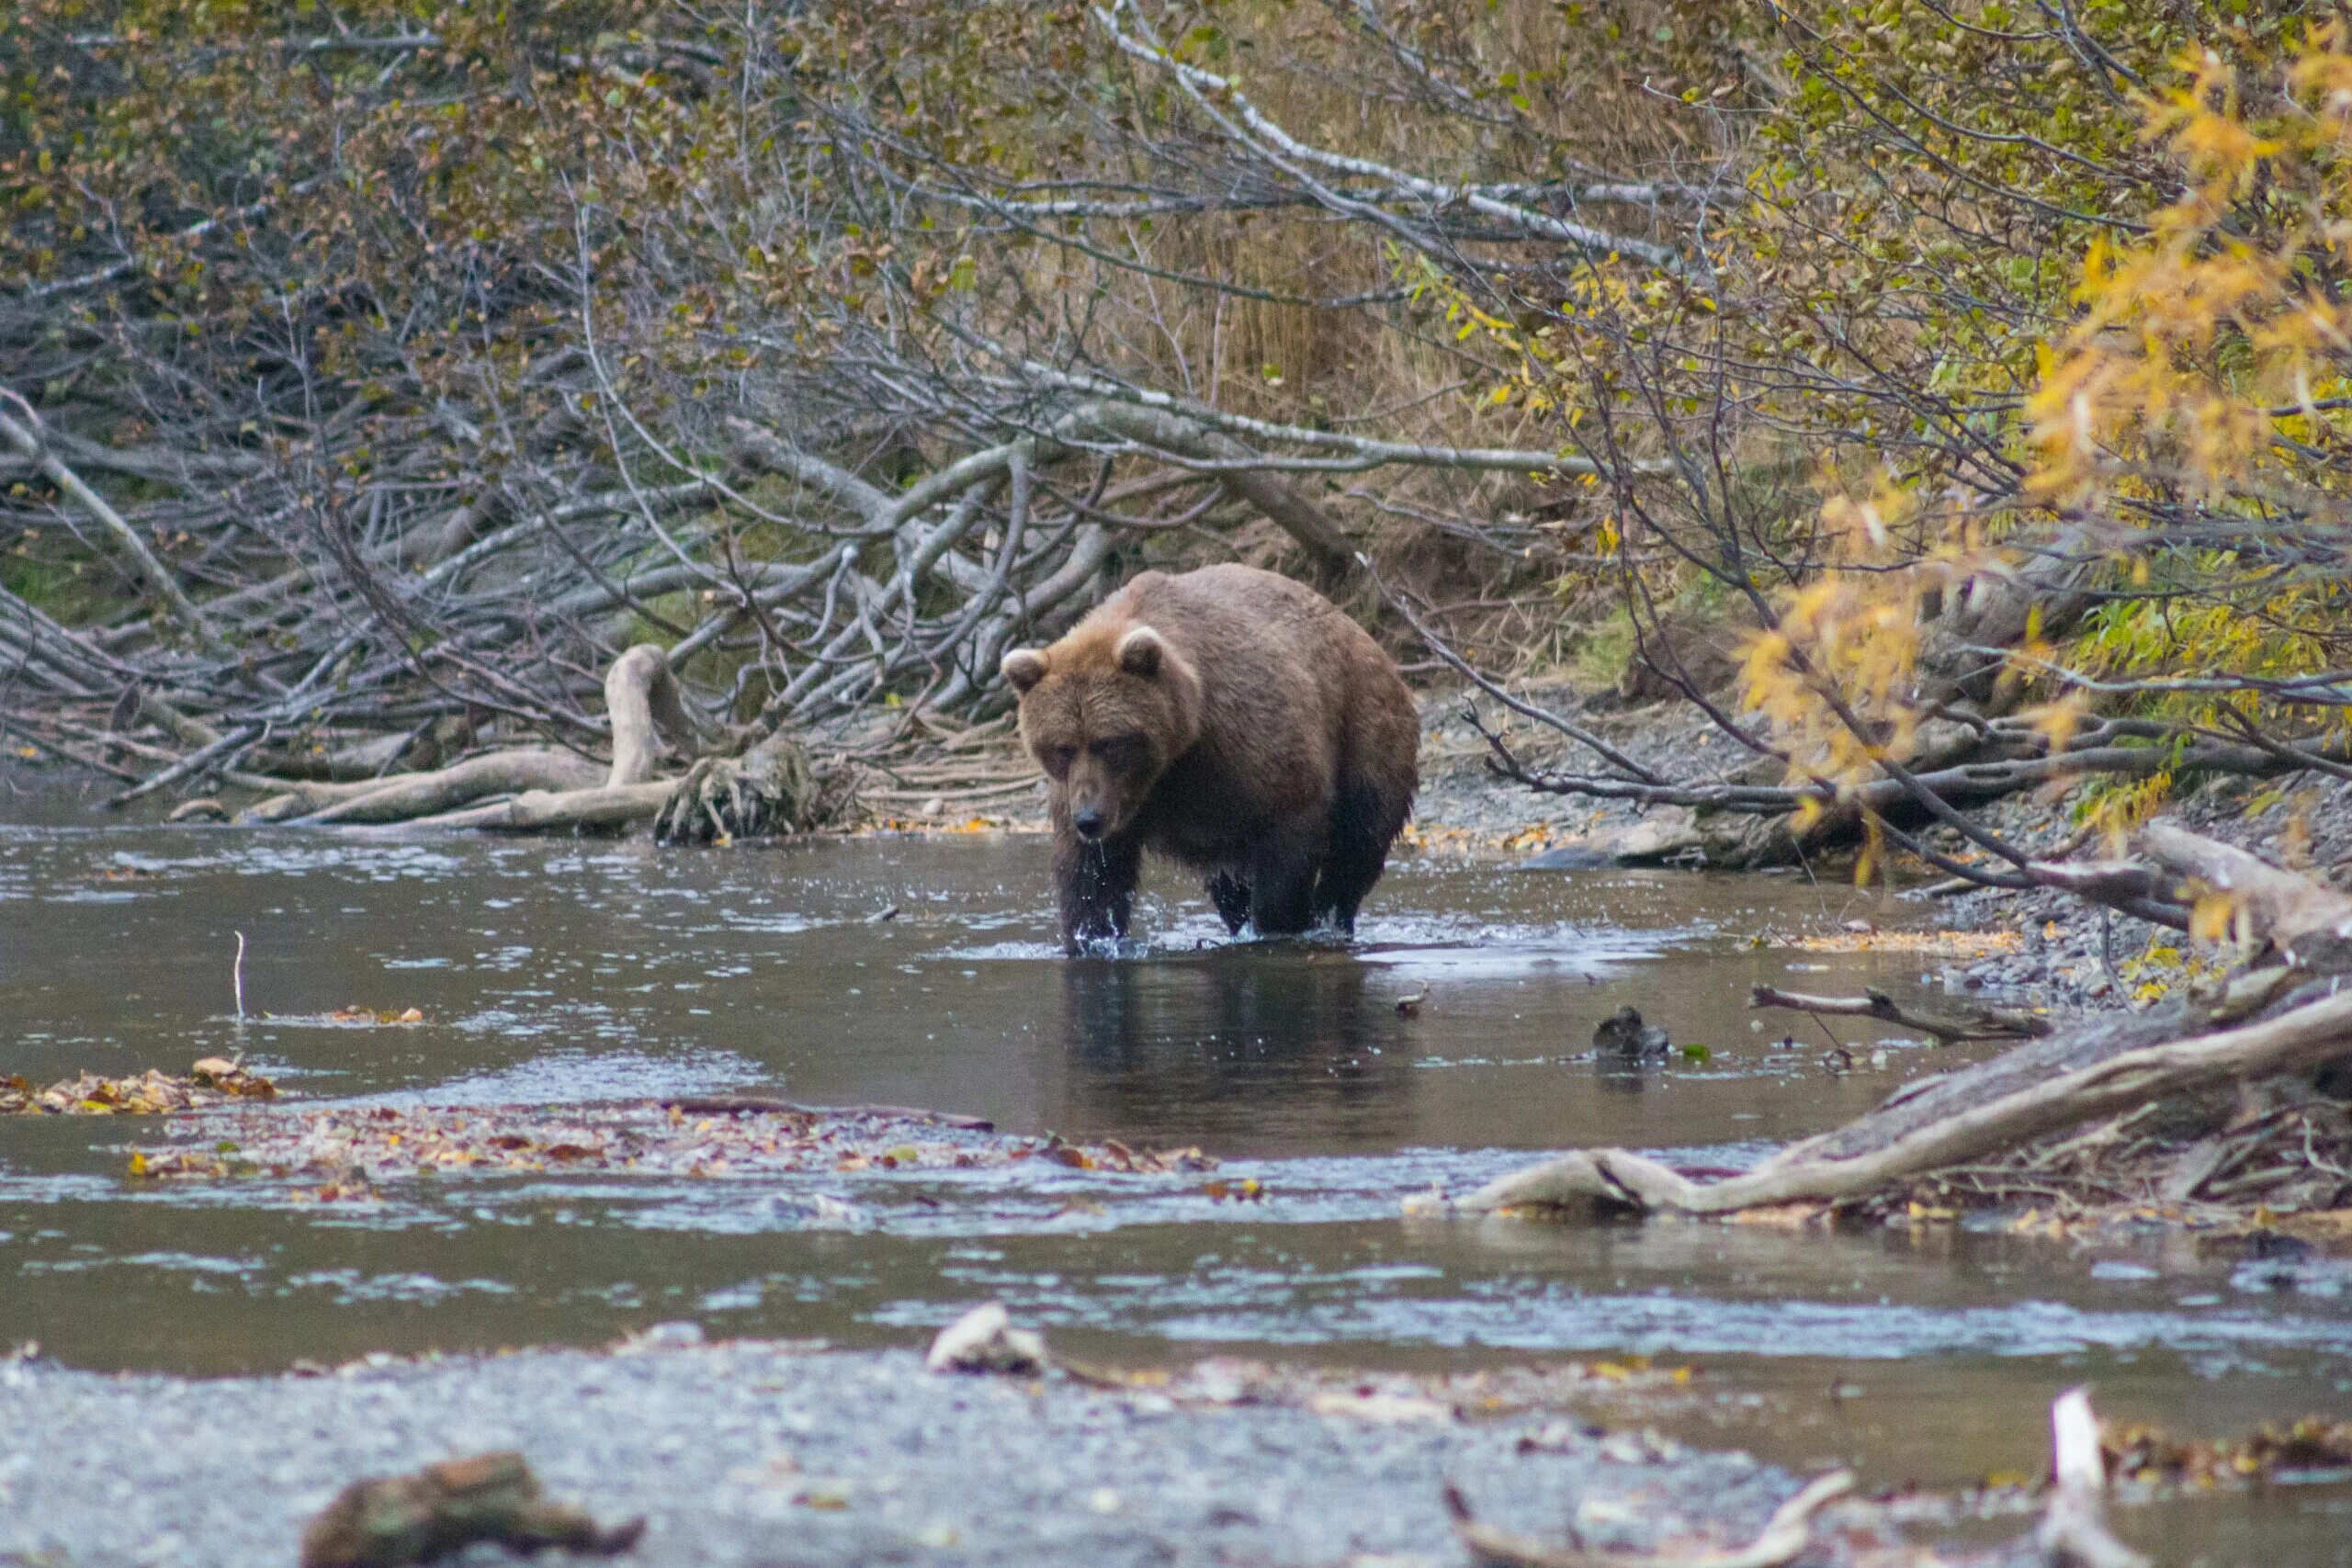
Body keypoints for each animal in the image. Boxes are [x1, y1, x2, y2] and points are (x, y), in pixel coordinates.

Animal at [997, 566, 1411, 959]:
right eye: (1062, 748)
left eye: (1111, 744)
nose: (1090, 818)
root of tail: (1361, 631)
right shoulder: (1100, 798)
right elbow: (1092, 875)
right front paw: (1090, 938)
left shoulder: (1247, 744)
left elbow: (1289, 828)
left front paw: (1284, 923)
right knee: (1229, 884)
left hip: (1362, 722)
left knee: (1360, 836)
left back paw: (1330, 914)